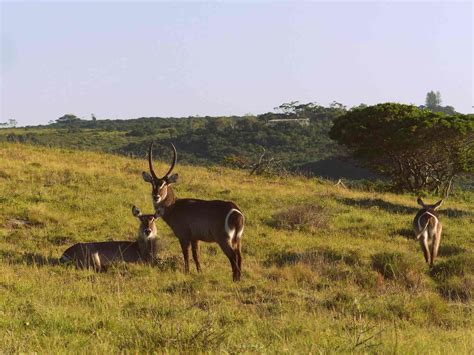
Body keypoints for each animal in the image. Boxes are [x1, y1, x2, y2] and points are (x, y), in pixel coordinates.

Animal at [141, 143, 244, 282]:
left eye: (164, 184)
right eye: (153, 183)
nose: (156, 196)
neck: (174, 206)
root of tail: (235, 211)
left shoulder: (184, 236)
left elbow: (186, 255)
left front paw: (187, 272)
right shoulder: (195, 238)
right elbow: (196, 256)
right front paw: (199, 272)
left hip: (224, 239)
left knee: (233, 257)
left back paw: (234, 279)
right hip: (237, 239)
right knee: (239, 256)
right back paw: (239, 279)